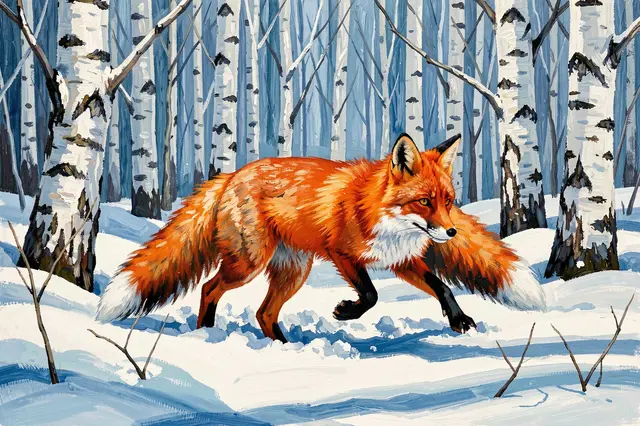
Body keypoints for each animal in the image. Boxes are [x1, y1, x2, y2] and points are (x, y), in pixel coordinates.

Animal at [97, 133, 546, 342]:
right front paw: (346, 312)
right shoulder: (343, 254)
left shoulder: (401, 261)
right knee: (209, 288)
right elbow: (371, 294)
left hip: (293, 271)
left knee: (264, 313)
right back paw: (206, 334)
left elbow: (442, 286)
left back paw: (281, 347)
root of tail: (231, 175)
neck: (376, 210)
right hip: (250, 263)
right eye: (423, 202)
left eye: (449, 201)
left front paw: (458, 319)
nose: (450, 231)